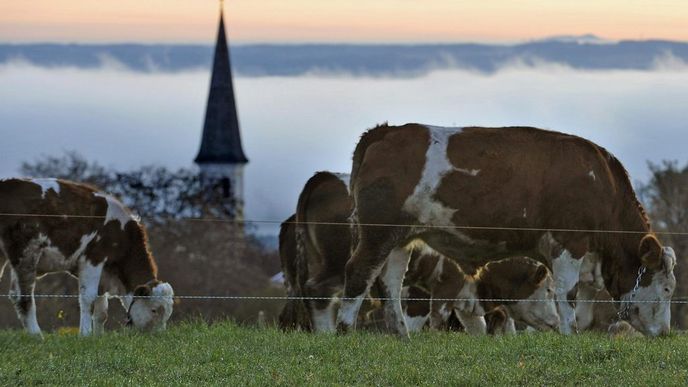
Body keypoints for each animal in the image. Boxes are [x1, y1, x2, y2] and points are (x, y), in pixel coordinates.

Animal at [0, 179, 175, 336]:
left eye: (168, 313)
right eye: (154, 310)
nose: (159, 335)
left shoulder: (104, 275)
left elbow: (102, 311)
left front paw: (98, 337)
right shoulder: (94, 258)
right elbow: (88, 298)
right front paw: (85, 334)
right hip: (26, 252)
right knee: (22, 297)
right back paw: (37, 336)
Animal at [336, 124, 676, 340]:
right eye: (667, 288)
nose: (665, 333)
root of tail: (386, 130)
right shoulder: (570, 242)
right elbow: (567, 295)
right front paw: (570, 336)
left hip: (400, 238)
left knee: (390, 284)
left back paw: (401, 334)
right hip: (377, 232)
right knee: (358, 273)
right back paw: (344, 329)